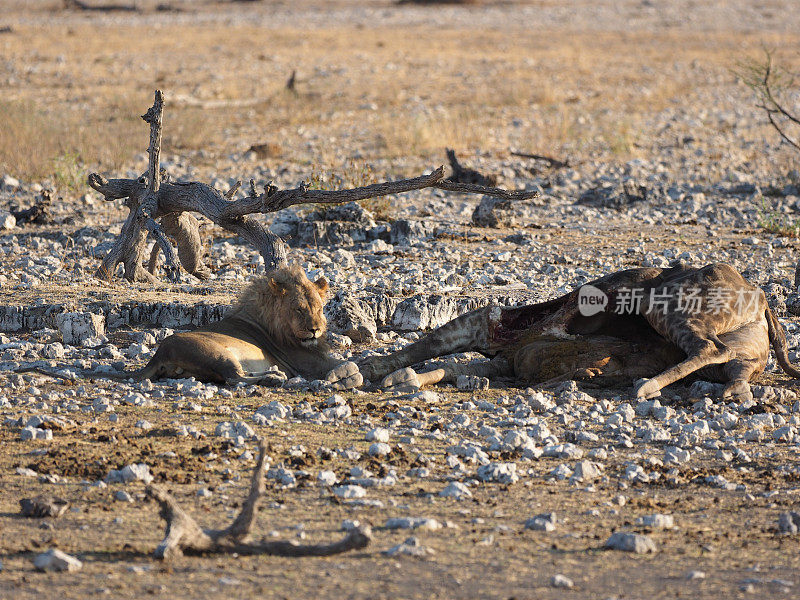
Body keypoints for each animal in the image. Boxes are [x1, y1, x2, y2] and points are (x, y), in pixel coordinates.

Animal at [362, 264, 800, 400]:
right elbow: (439, 355)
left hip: (665, 304)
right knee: (732, 364)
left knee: (711, 347)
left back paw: (647, 386)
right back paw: (732, 391)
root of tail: (759, 295)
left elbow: (439, 341)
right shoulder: (500, 348)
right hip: (744, 352)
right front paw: (379, 373)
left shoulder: (496, 329)